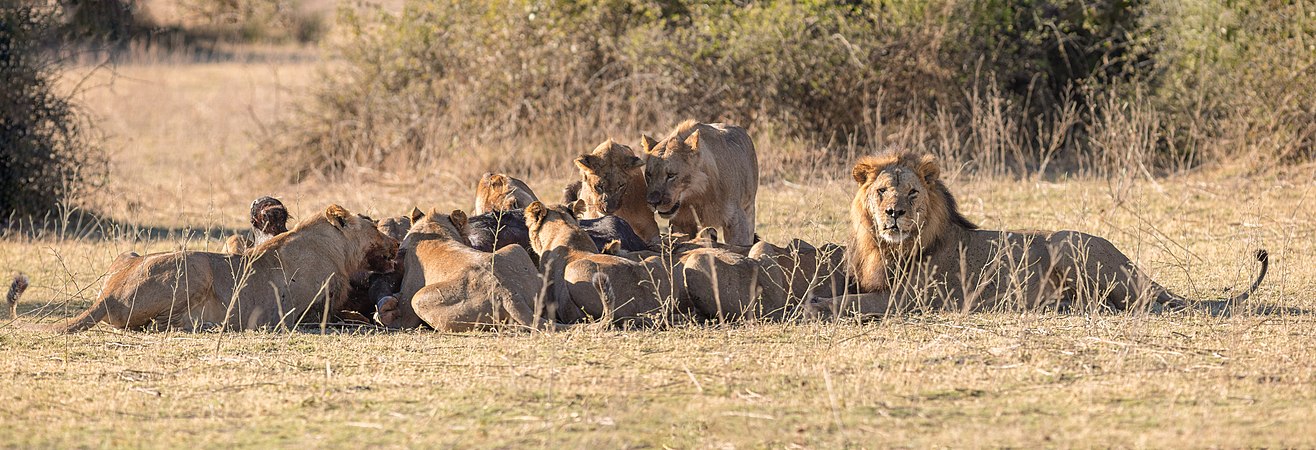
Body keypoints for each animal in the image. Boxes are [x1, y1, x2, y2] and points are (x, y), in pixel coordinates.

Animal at [43, 205, 397, 331]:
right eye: (371, 222)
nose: (395, 243)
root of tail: (108, 296)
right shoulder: (314, 311)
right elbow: (348, 316)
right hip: (197, 266)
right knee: (161, 324)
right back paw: (211, 324)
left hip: (128, 254)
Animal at [373, 207, 557, 330]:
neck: (435, 230)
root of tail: (508, 293)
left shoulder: (409, 294)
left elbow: (403, 320)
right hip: (516, 249)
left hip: (418, 299)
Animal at [800, 149, 1263, 318]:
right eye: (881, 191)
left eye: (912, 192)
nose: (894, 213)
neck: (886, 246)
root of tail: (1137, 268)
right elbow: (843, 290)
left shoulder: (911, 298)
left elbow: (851, 303)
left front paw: (813, 307)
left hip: (1066, 242)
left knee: (1139, 304)